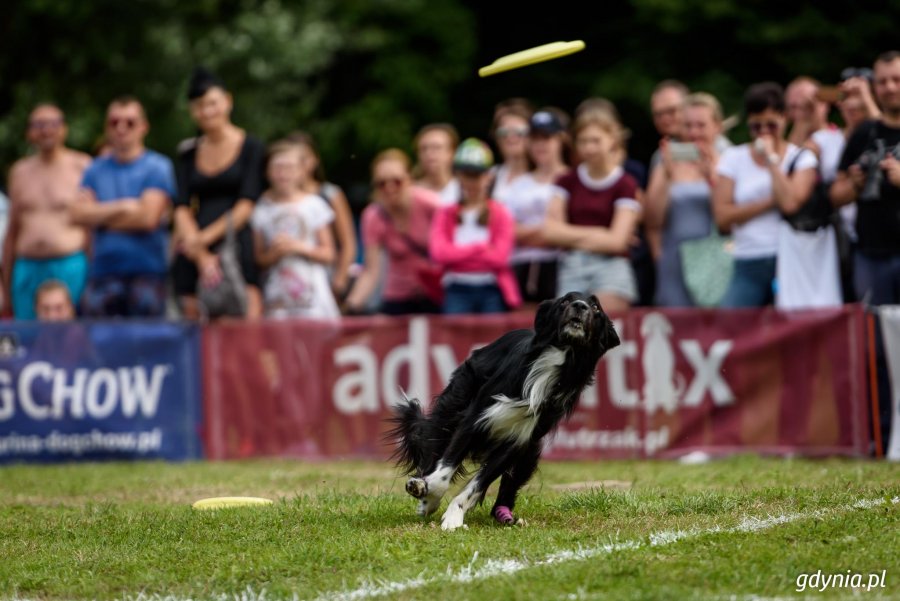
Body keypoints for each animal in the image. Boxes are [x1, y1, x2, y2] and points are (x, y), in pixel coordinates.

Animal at [386, 292, 620, 528]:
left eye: (596, 307)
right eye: (565, 301)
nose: (580, 306)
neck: (557, 362)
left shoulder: (517, 441)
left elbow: (477, 485)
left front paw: (454, 516)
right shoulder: (475, 420)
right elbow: (444, 470)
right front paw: (428, 492)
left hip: (529, 451)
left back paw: (504, 515)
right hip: (451, 411)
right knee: (432, 450)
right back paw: (425, 496)